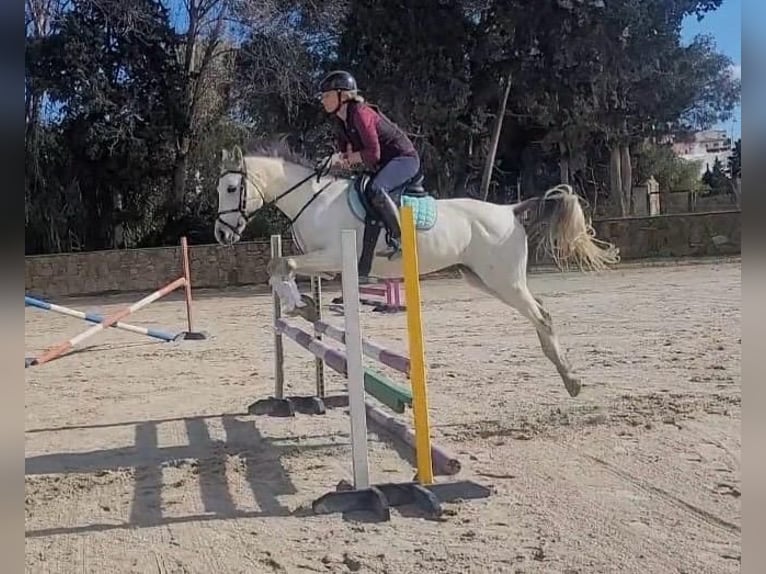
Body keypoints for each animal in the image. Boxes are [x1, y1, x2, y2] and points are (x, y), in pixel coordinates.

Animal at [213, 140, 620, 397]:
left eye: (232, 188)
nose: (220, 233)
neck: (313, 199)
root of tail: (511, 210)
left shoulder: (333, 256)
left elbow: (281, 264)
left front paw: (302, 306)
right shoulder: (323, 266)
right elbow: (277, 268)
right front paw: (305, 306)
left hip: (504, 280)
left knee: (542, 316)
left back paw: (571, 380)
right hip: (483, 280)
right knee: (539, 314)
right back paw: (566, 374)